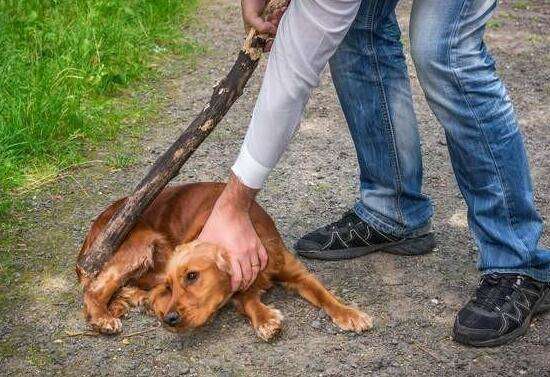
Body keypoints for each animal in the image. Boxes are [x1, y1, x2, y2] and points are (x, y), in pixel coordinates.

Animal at [77, 183, 376, 340]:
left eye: (192, 276)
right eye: (173, 285)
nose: (170, 320)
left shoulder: (296, 273)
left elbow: (325, 295)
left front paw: (350, 313)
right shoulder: (238, 287)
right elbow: (249, 300)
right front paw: (266, 319)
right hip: (141, 244)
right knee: (94, 288)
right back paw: (104, 317)